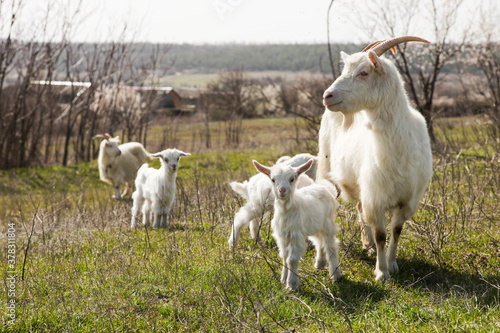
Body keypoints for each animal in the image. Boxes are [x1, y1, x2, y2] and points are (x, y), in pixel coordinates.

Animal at [320, 36, 434, 280]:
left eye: (363, 72)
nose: (327, 96)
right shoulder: (376, 197)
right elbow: (381, 233)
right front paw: (381, 272)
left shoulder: (407, 199)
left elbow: (396, 231)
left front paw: (392, 264)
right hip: (327, 171)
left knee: (359, 208)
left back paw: (368, 245)